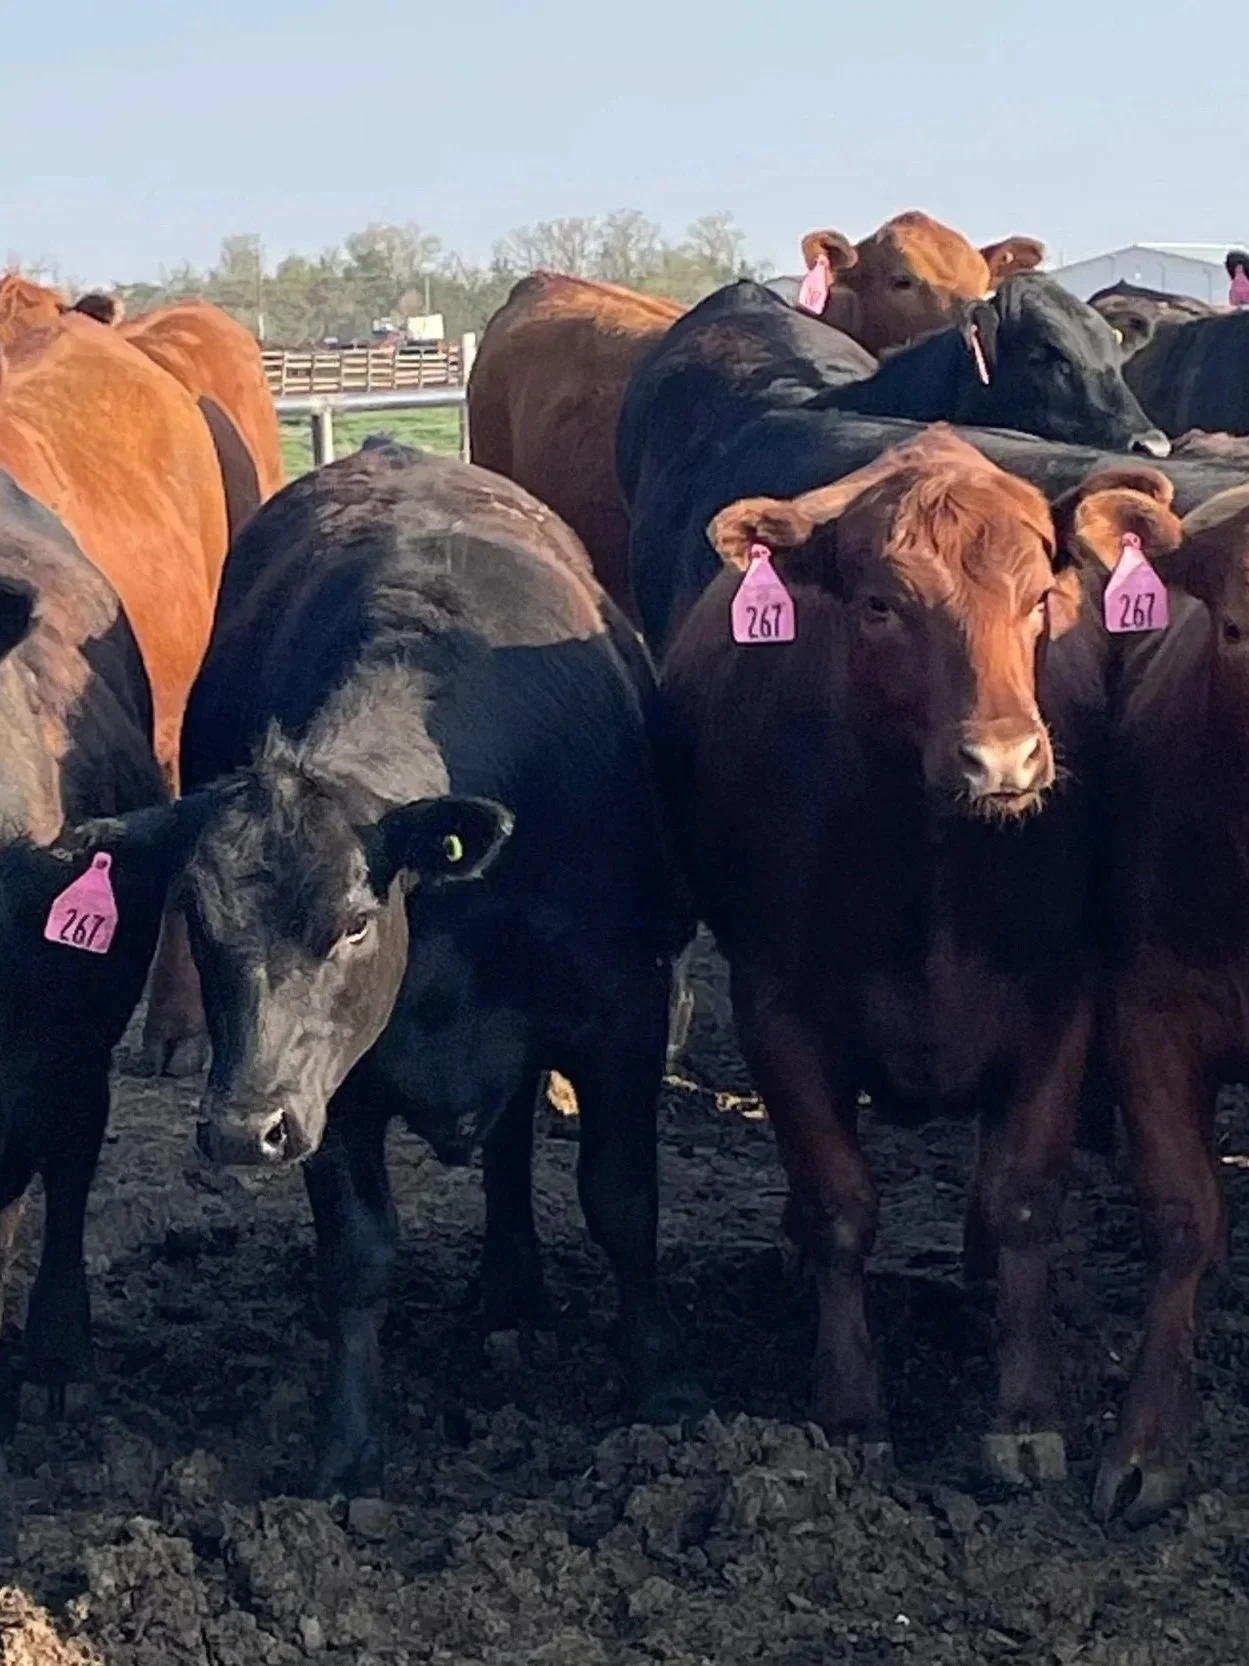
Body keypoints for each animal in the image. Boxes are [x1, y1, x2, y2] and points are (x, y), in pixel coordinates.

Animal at [94, 443, 703, 1495]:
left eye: (351, 925)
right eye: (199, 924)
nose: (239, 1131)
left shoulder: (620, 1016)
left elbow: (622, 1200)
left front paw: (661, 1385)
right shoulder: (328, 1088)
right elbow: (358, 1255)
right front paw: (347, 1448)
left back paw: (513, 1292)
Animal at [657, 426, 1132, 1493]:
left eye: (1041, 599)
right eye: (881, 604)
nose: (1003, 760)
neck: (933, 870)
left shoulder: (1060, 999)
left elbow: (1024, 1196)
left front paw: (1024, 1414)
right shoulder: (775, 1008)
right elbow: (841, 1203)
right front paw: (847, 1412)